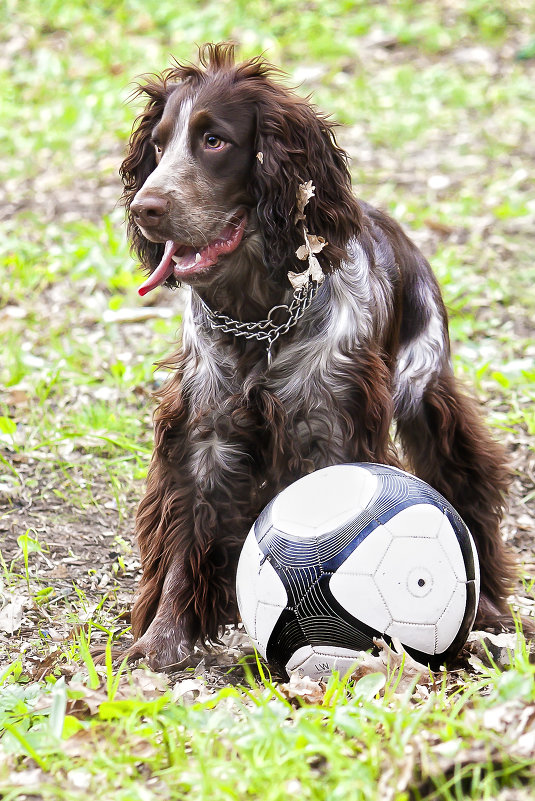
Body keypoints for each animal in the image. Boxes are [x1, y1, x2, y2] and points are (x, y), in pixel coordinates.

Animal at [120, 43, 516, 668]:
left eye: (215, 140)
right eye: (158, 145)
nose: (146, 207)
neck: (261, 319)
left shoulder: (331, 427)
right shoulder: (205, 433)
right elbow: (186, 541)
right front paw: (162, 642)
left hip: (426, 386)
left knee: (464, 480)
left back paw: (493, 613)